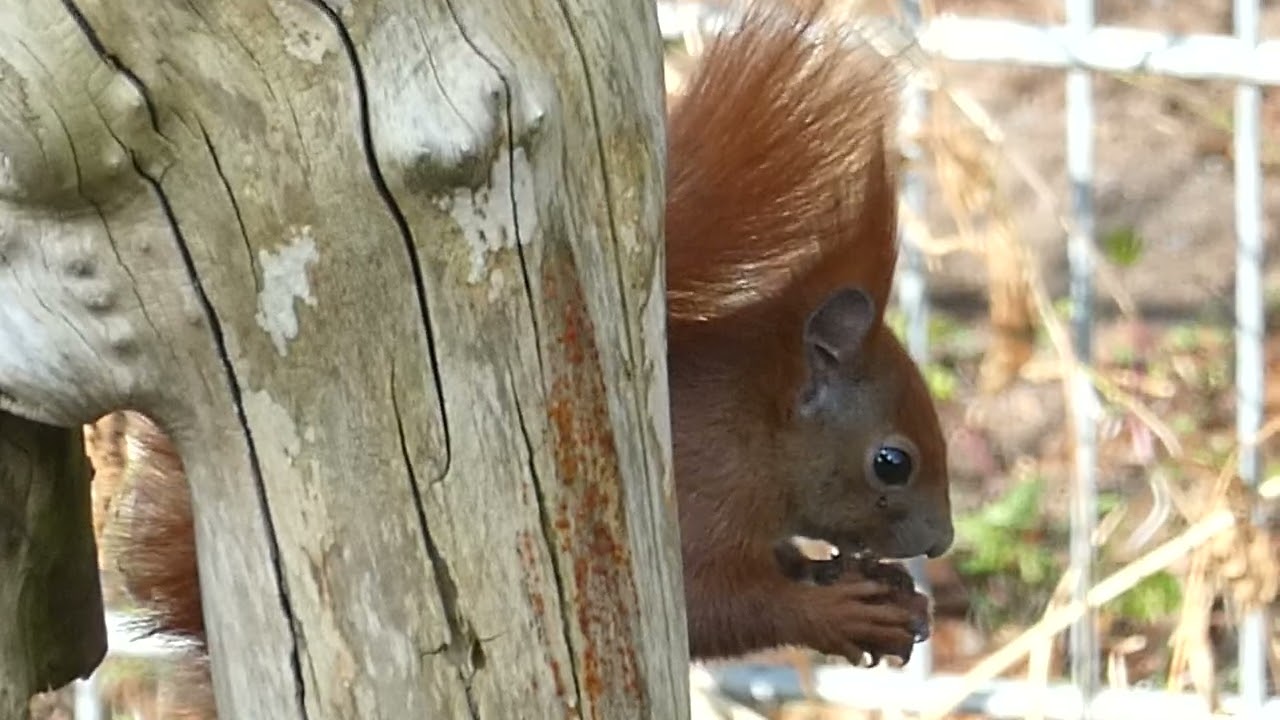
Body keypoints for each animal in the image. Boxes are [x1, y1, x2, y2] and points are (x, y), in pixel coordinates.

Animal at [92, 0, 951, 710]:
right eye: (892, 463)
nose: (941, 543)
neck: (755, 427)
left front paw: (878, 588)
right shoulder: (699, 499)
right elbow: (720, 606)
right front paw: (837, 609)